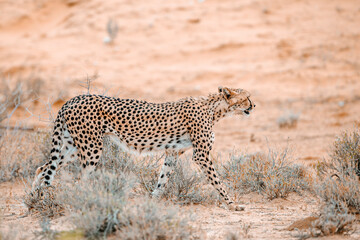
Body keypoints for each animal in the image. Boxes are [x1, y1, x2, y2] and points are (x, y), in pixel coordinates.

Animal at [31, 86, 256, 210]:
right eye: (247, 97)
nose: (253, 106)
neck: (214, 109)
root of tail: (73, 99)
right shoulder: (201, 155)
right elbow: (218, 181)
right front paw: (232, 204)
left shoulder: (172, 152)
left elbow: (163, 180)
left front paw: (152, 201)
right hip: (91, 147)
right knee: (81, 179)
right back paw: (86, 202)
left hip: (72, 146)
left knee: (43, 168)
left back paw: (34, 199)